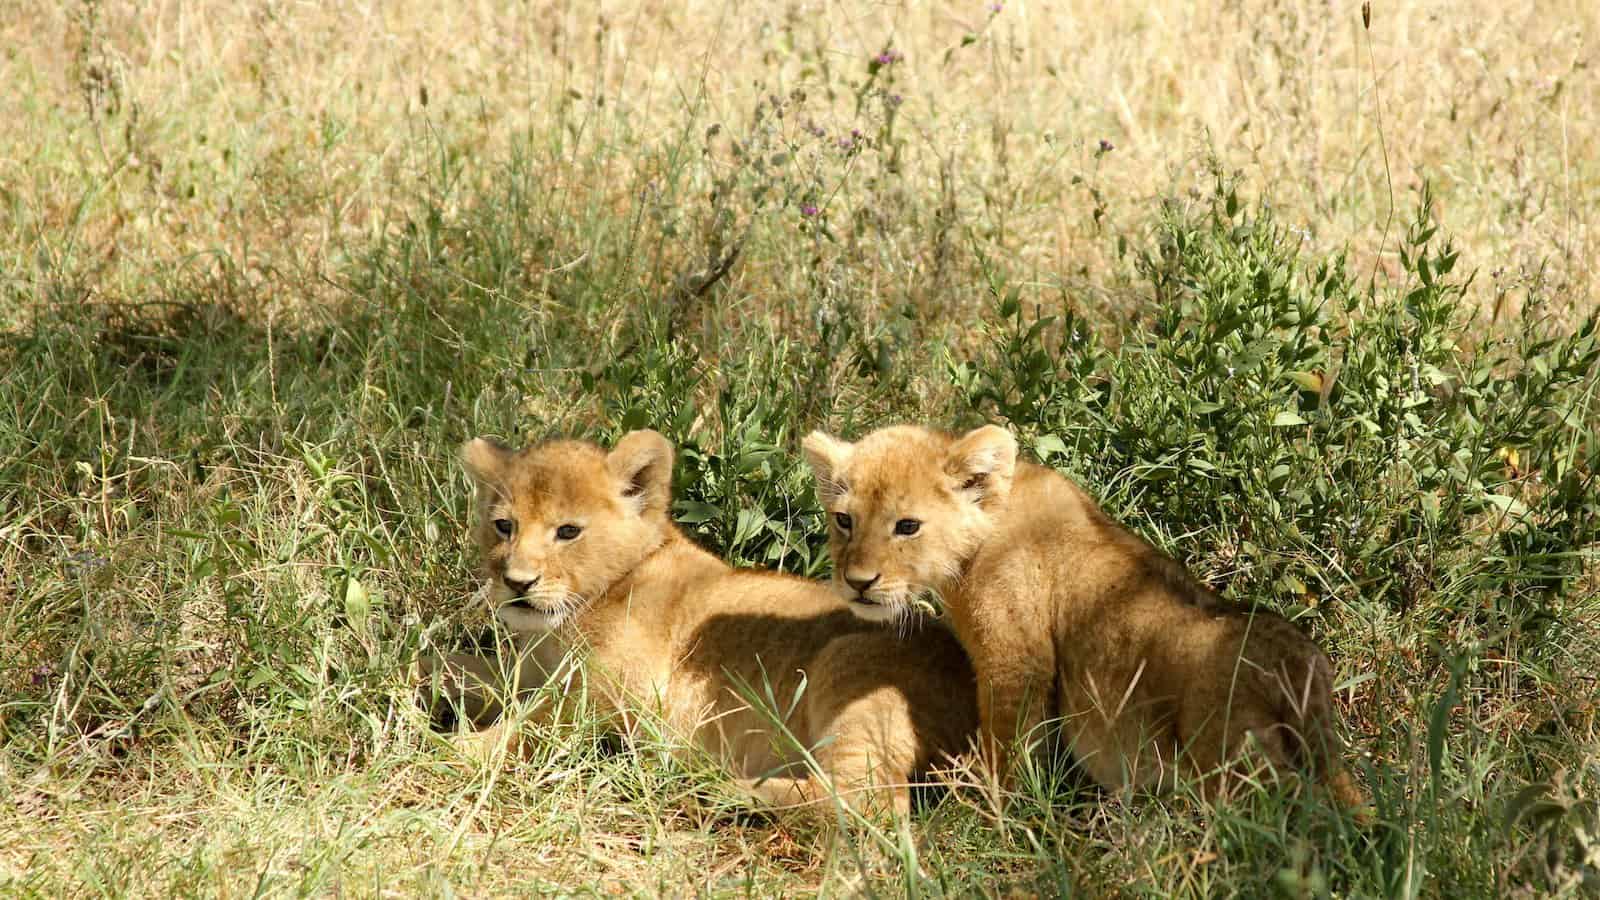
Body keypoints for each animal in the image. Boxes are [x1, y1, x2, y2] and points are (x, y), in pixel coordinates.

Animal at [421, 429, 978, 817]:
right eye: (504, 526)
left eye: (568, 532)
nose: (517, 582)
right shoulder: (533, 673)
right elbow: (450, 665)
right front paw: (413, 684)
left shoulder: (623, 696)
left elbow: (533, 725)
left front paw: (451, 748)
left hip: (851, 667)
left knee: (866, 801)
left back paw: (718, 788)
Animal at [800, 423, 1363, 806]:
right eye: (844, 520)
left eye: (908, 526)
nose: (857, 582)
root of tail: (1296, 659)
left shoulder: (1017, 659)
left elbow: (1010, 740)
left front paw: (995, 804)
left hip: (1232, 759)